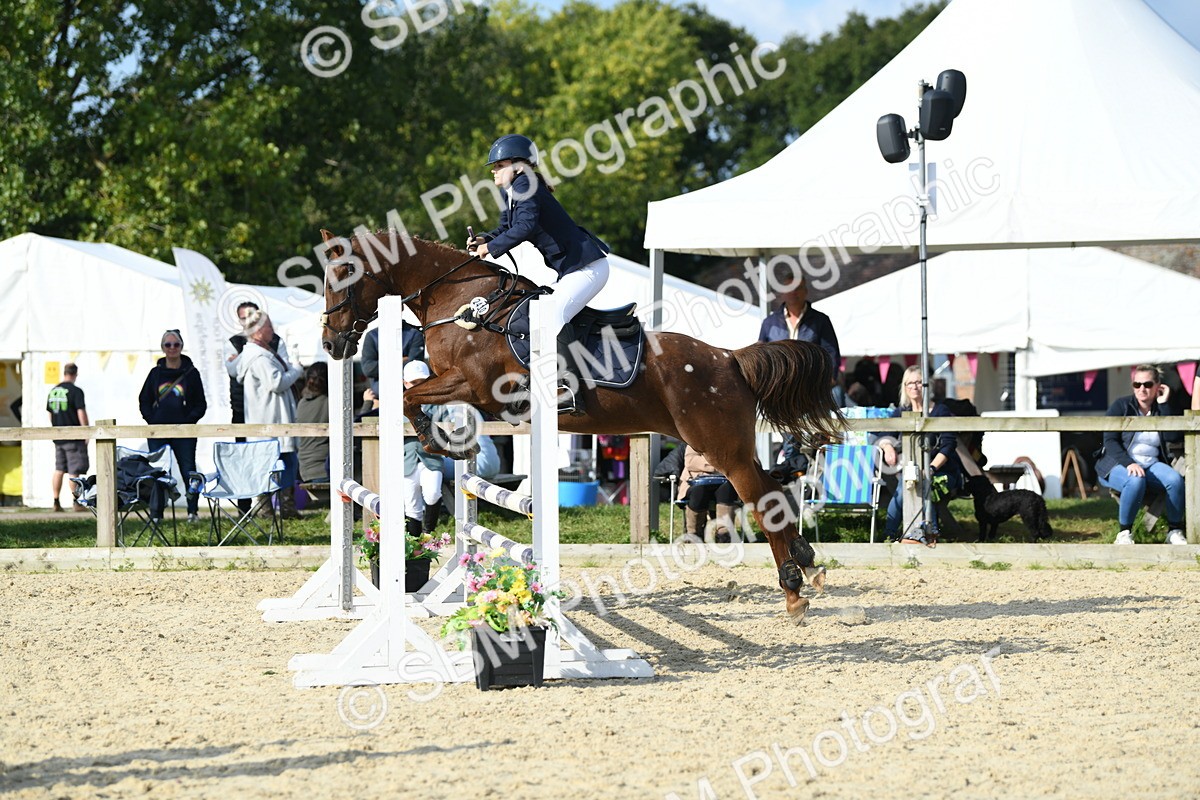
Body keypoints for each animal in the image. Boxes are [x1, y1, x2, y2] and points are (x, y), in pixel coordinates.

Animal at [319, 229, 844, 623]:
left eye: (344, 273)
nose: (330, 343)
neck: (462, 301)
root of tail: (730, 358)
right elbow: (413, 399)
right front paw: (450, 443)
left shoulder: (474, 387)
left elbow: (408, 397)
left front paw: (436, 441)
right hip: (734, 444)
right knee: (773, 490)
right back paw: (808, 564)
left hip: (719, 448)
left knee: (759, 498)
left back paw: (793, 591)